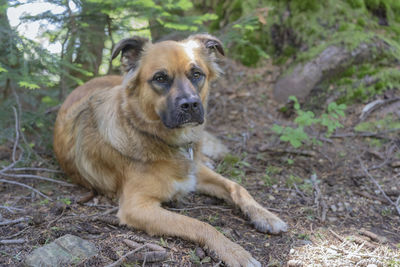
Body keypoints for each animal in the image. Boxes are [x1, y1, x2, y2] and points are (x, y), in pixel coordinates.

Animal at [54, 34, 288, 266]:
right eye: (160, 78)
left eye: (197, 74)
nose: (191, 105)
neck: (157, 137)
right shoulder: (136, 207)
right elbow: (199, 224)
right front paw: (234, 252)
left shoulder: (195, 172)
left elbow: (237, 187)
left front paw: (266, 216)